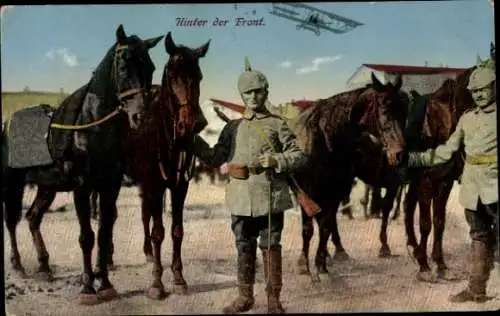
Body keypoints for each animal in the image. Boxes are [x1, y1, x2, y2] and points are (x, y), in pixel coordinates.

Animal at [2, 25, 162, 306]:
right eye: (123, 66)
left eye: (151, 67)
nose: (140, 117)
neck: (92, 126)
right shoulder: (82, 187)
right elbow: (87, 237)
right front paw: (88, 287)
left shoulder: (109, 187)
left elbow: (104, 233)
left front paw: (106, 284)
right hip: (13, 182)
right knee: (12, 221)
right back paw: (19, 265)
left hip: (47, 187)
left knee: (33, 218)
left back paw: (44, 267)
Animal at [122, 32, 210, 298]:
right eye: (172, 76)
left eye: (199, 76)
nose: (191, 124)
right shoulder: (154, 184)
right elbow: (158, 232)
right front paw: (156, 283)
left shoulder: (179, 186)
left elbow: (176, 230)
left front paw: (179, 279)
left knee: (144, 215)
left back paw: (148, 253)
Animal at [292, 73, 408, 276]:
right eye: (384, 110)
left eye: (404, 111)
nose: (400, 155)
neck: (326, 139)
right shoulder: (307, 190)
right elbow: (308, 228)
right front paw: (303, 263)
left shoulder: (335, 190)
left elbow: (325, 226)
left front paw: (320, 263)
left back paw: (335, 252)